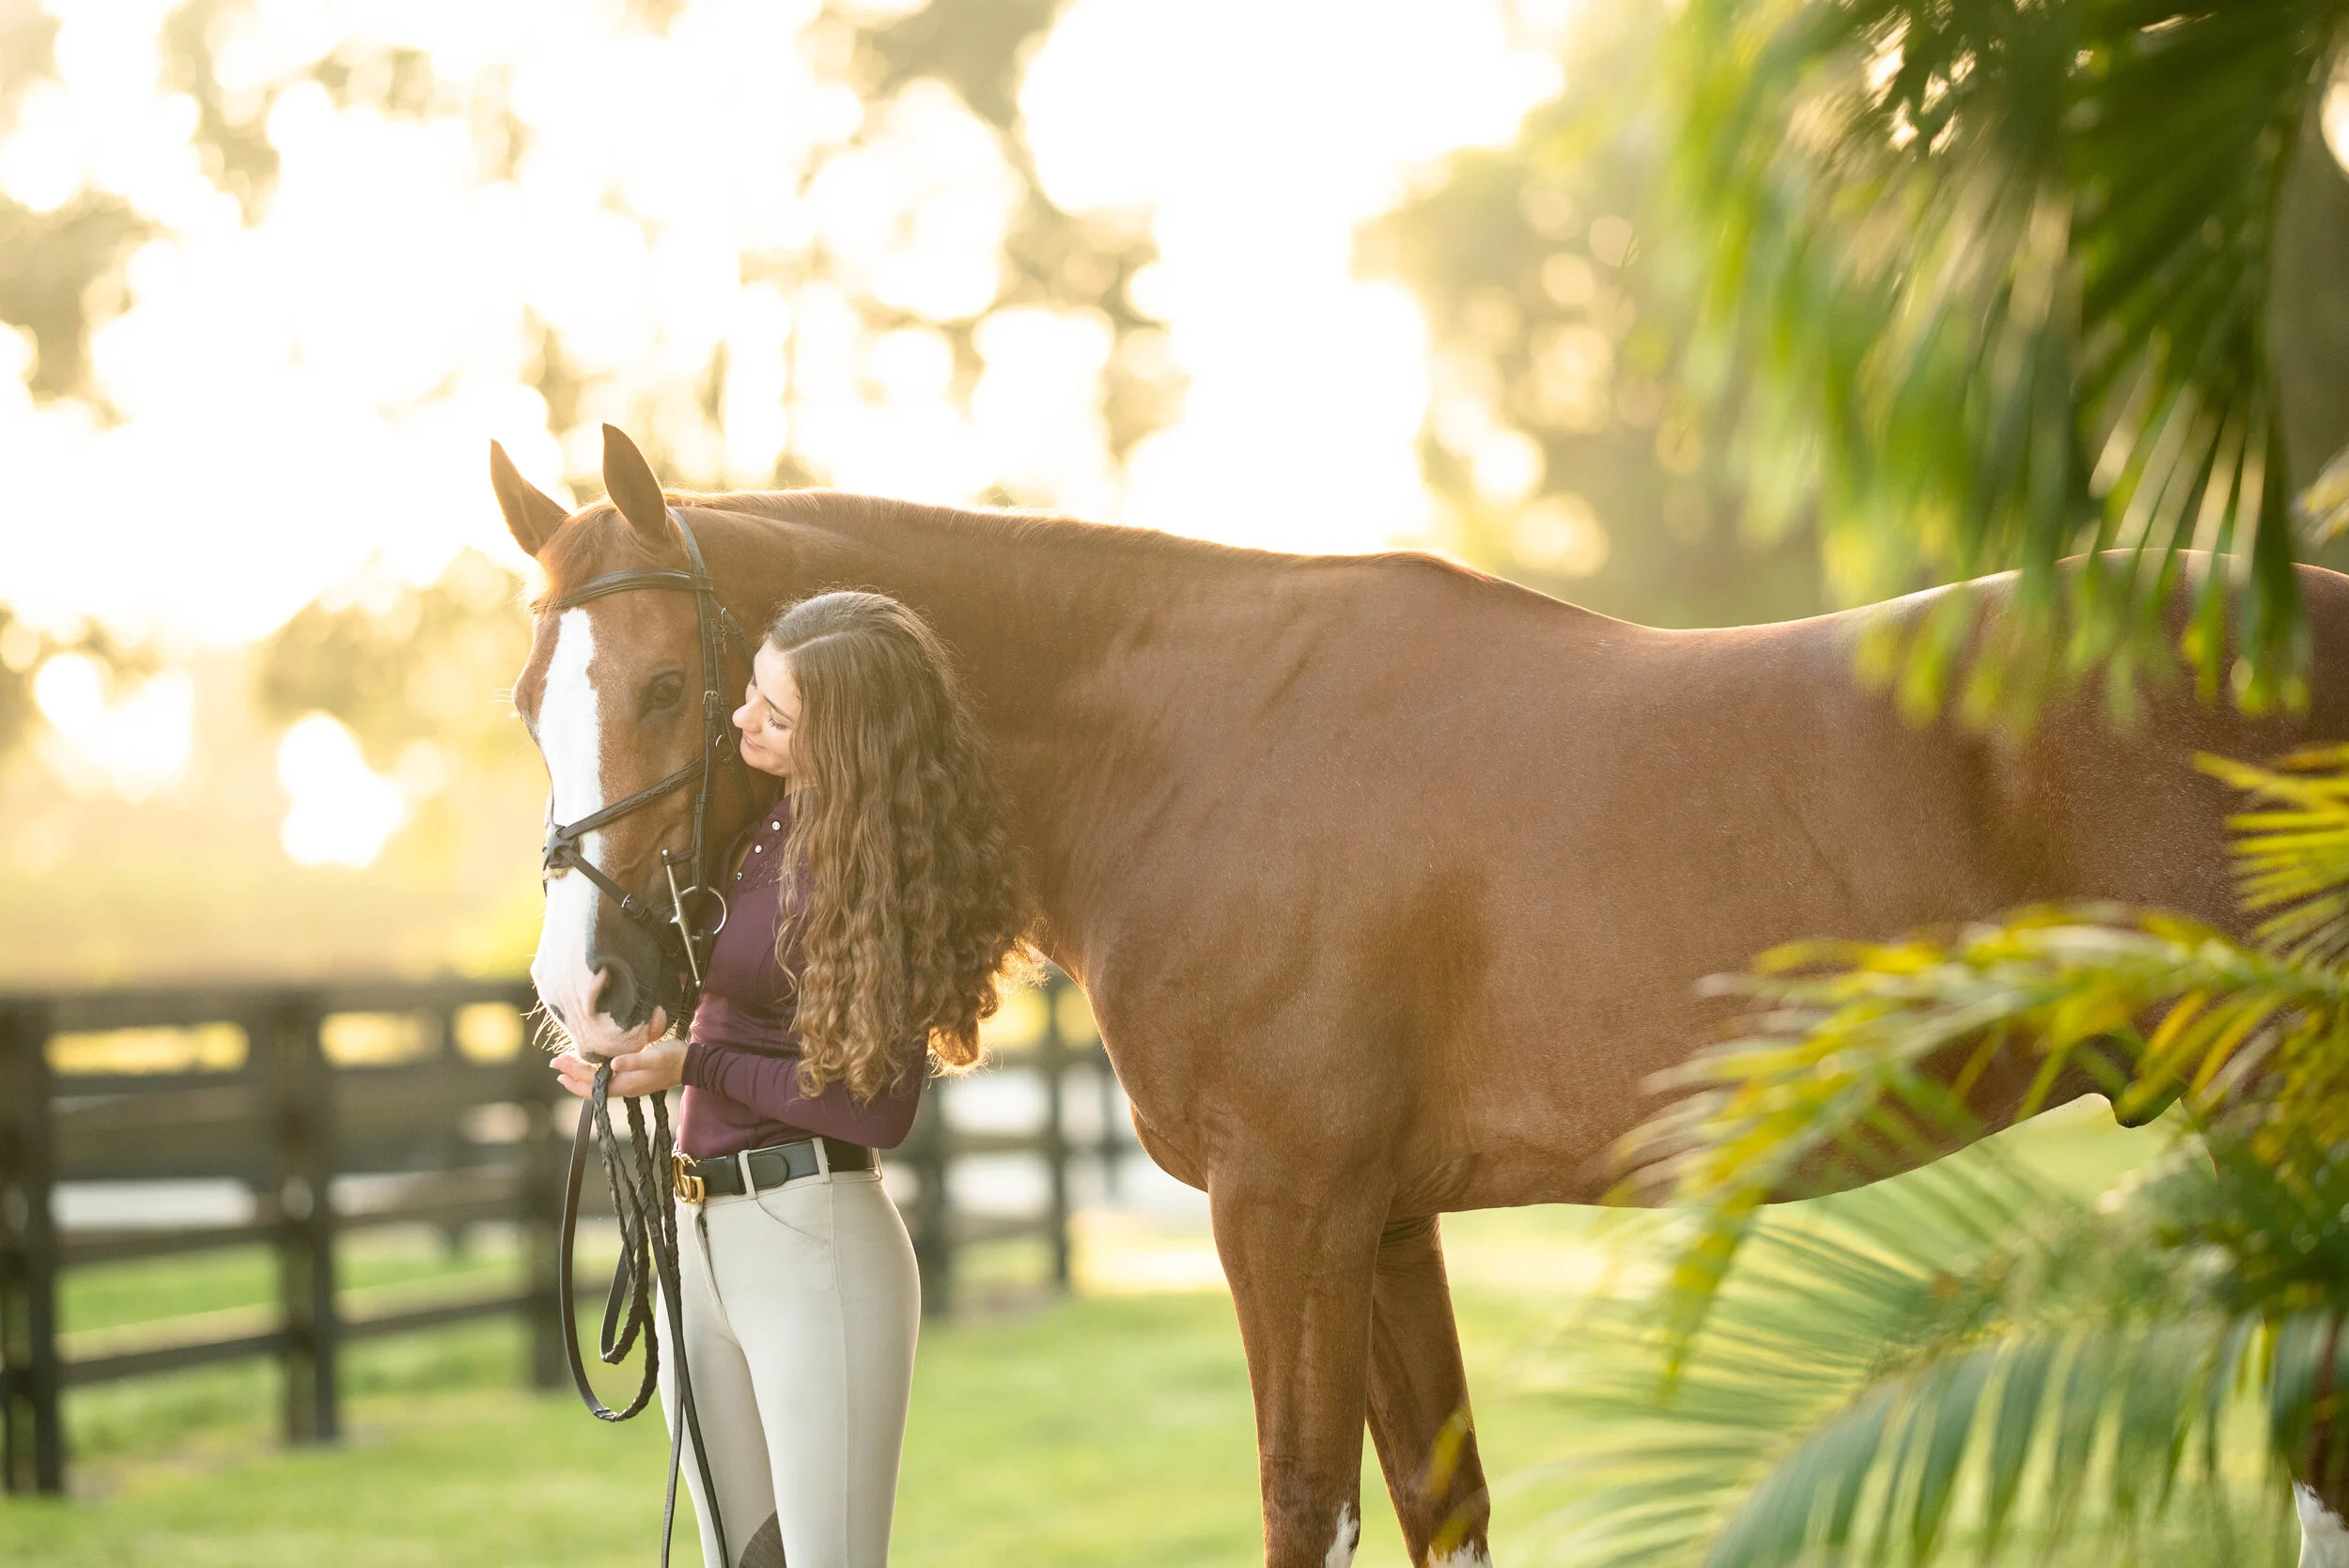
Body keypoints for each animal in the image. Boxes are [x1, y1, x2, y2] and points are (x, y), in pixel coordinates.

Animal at [500, 424, 2349, 1568]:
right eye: (530, 695)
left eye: (671, 688)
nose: (590, 995)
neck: (1188, 738)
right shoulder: (1384, 1223)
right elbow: (1440, 1503)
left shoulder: (1286, 1211)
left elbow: (1300, 1504)